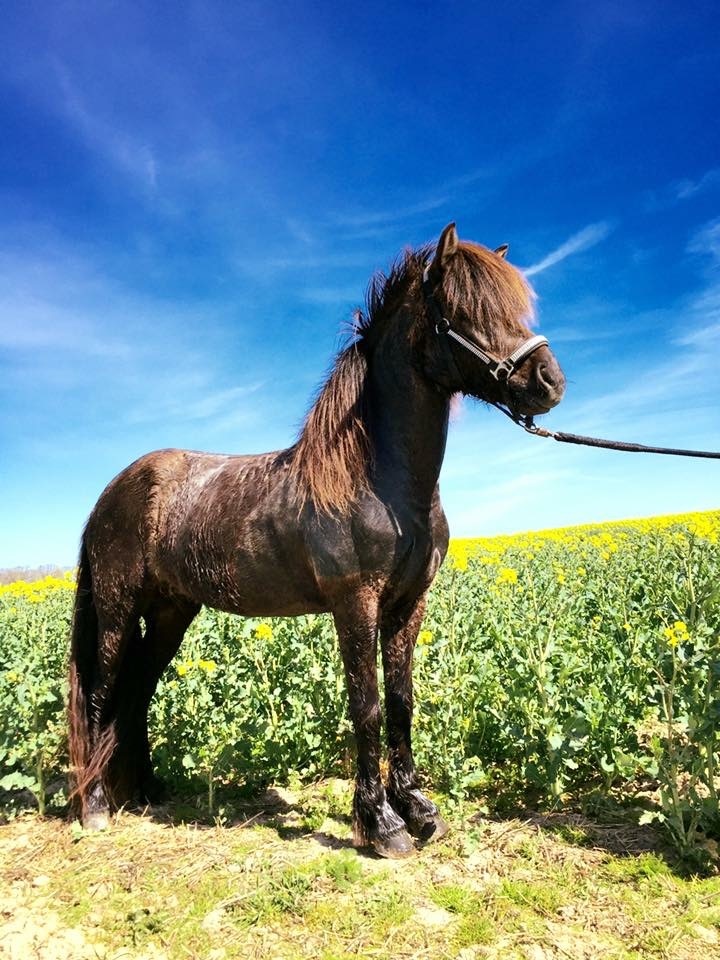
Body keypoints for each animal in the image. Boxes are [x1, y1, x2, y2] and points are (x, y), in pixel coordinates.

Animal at [68, 223, 565, 858]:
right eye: (466, 310)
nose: (550, 382)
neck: (379, 480)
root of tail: (112, 493)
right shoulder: (355, 602)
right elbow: (368, 708)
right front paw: (381, 825)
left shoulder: (407, 605)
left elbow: (401, 702)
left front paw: (420, 812)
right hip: (116, 608)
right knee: (102, 694)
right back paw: (96, 807)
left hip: (171, 613)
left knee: (137, 692)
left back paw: (148, 794)